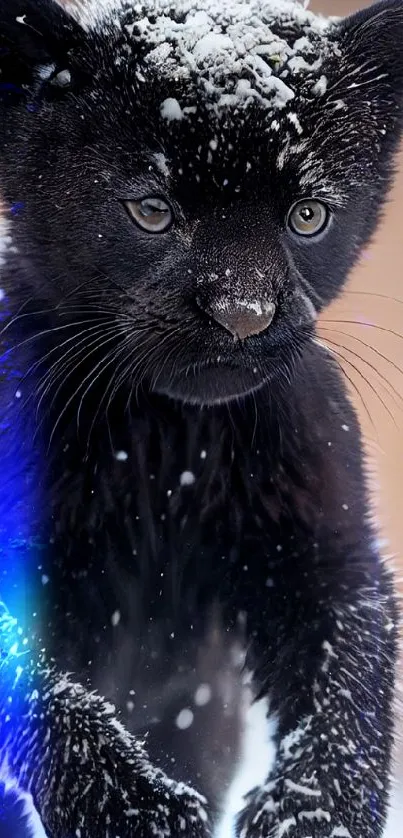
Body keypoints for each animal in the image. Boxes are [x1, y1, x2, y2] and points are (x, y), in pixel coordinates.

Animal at [0, 0, 402, 836]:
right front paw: (135, 809)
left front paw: (310, 814)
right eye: (152, 210)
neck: (164, 445)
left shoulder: (323, 552)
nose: (242, 312)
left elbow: (346, 693)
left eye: (307, 216)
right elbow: (48, 699)